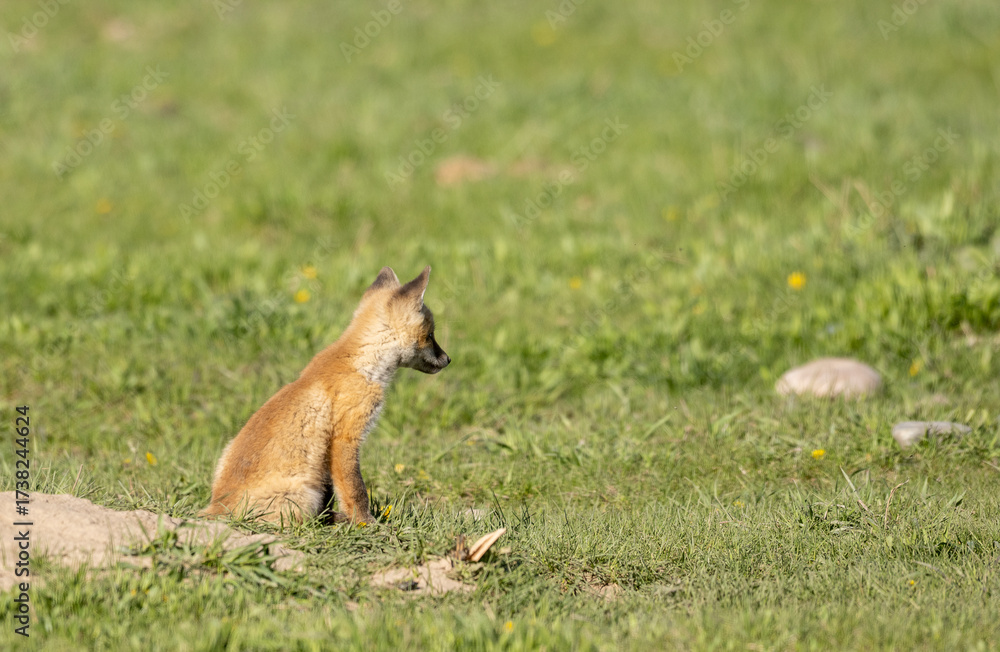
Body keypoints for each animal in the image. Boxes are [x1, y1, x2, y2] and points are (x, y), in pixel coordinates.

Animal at [200, 265, 450, 525]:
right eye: (431, 335)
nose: (448, 359)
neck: (361, 364)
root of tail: (217, 505)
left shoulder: (328, 452)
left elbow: (333, 491)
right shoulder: (346, 437)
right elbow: (356, 490)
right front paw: (365, 523)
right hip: (303, 495)